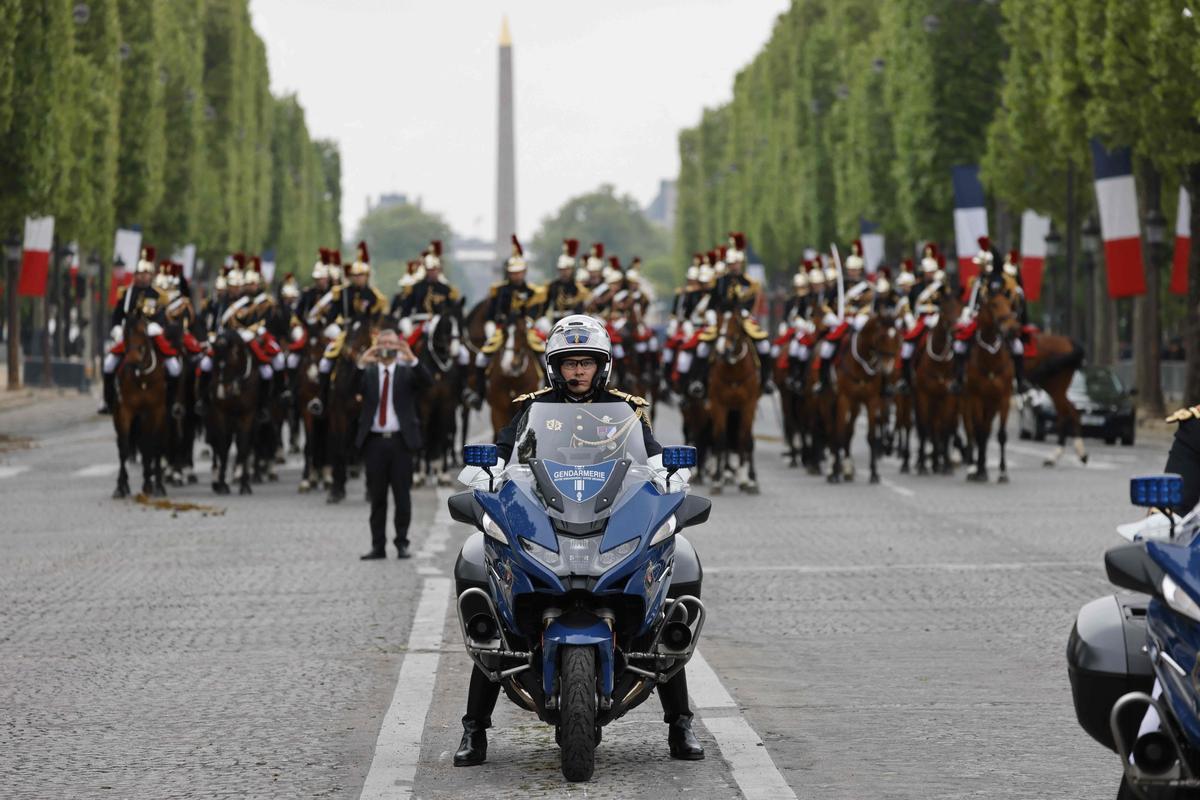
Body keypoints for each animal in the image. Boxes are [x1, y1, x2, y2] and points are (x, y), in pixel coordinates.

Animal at [110, 314, 168, 496]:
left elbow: (154, 445)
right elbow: (124, 447)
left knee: (148, 444)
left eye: (145, 331)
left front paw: (157, 484)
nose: (132, 362)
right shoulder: (124, 411)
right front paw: (121, 486)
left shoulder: (157, 411)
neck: (143, 379)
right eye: (125, 334)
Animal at [201, 331, 260, 494]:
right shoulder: (220, 414)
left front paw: (244, 483)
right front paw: (222, 484)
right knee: (217, 444)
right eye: (214, 363)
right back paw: (217, 479)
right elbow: (223, 446)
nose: (221, 393)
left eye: (231, 362)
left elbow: (244, 445)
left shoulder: (248, 415)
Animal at [700, 311, 758, 494]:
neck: (734, 371)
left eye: (736, 323)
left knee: (746, 440)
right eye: (718, 324)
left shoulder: (748, 406)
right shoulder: (718, 405)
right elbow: (720, 440)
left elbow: (744, 439)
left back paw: (749, 478)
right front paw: (717, 480)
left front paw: (746, 480)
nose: (721, 350)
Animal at [825, 311, 902, 484]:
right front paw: (835, 472)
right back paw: (834, 467)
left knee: (849, 430)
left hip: (856, 404)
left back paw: (847, 467)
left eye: (897, 337)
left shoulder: (871, 401)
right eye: (881, 336)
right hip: (833, 401)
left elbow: (871, 437)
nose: (888, 367)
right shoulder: (843, 399)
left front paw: (874, 473)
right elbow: (838, 434)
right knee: (834, 430)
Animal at [960, 291, 1017, 484]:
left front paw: (1002, 472)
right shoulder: (976, 398)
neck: (991, 360)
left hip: (991, 406)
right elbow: (978, 432)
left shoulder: (1004, 398)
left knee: (985, 431)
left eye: (1010, 304)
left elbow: (1000, 435)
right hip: (967, 404)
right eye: (993, 304)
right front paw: (978, 470)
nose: (1011, 330)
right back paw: (973, 467)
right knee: (972, 431)